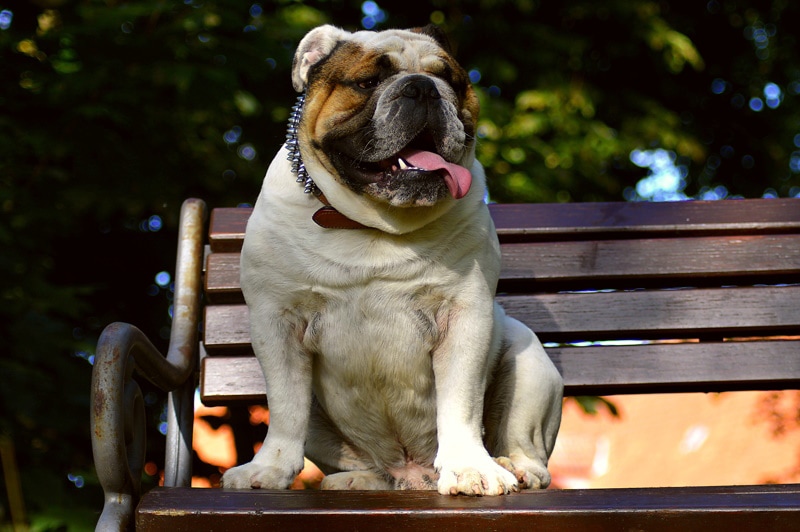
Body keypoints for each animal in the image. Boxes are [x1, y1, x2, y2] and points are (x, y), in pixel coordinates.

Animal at [220, 23, 564, 498]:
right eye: (368, 82)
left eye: (451, 80)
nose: (423, 88)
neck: (373, 225)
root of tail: (412, 474)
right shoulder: (277, 323)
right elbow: (286, 408)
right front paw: (268, 469)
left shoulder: (465, 318)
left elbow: (460, 403)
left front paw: (470, 467)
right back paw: (356, 478)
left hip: (528, 361)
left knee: (525, 444)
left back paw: (513, 466)